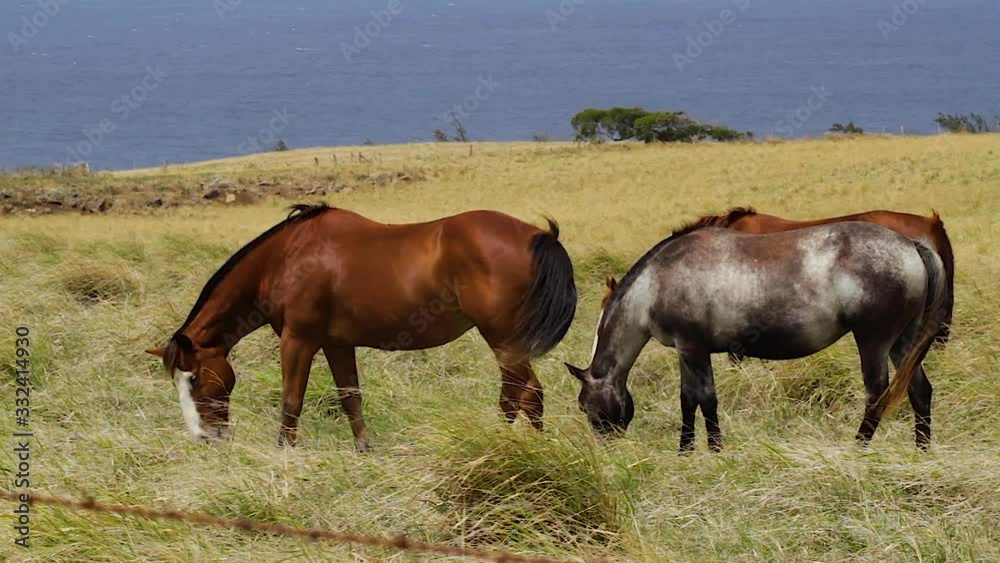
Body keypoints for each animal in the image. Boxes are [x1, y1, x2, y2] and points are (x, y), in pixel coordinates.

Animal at [146, 204, 576, 450]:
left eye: (195, 379)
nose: (204, 438)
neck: (286, 257)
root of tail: (539, 236)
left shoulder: (299, 340)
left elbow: (291, 400)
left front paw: (283, 451)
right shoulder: (337, 344)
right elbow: (350, 397)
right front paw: (364, 449)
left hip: (504, 341)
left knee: (523, 396)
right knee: (522, 395)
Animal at [565, 221, 946, 451]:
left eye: (586, 407)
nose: (606, 447)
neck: (656, 282)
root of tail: (911, 245)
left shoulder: (692, 349)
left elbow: (705, 398)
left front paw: (714, 449)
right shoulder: (688, 352)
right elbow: (689, 399)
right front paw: (686, 449)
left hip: (873, 340)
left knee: (877, 393)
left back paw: (858, 446)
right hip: (903, 342)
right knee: (919, 390)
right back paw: (921, 449)